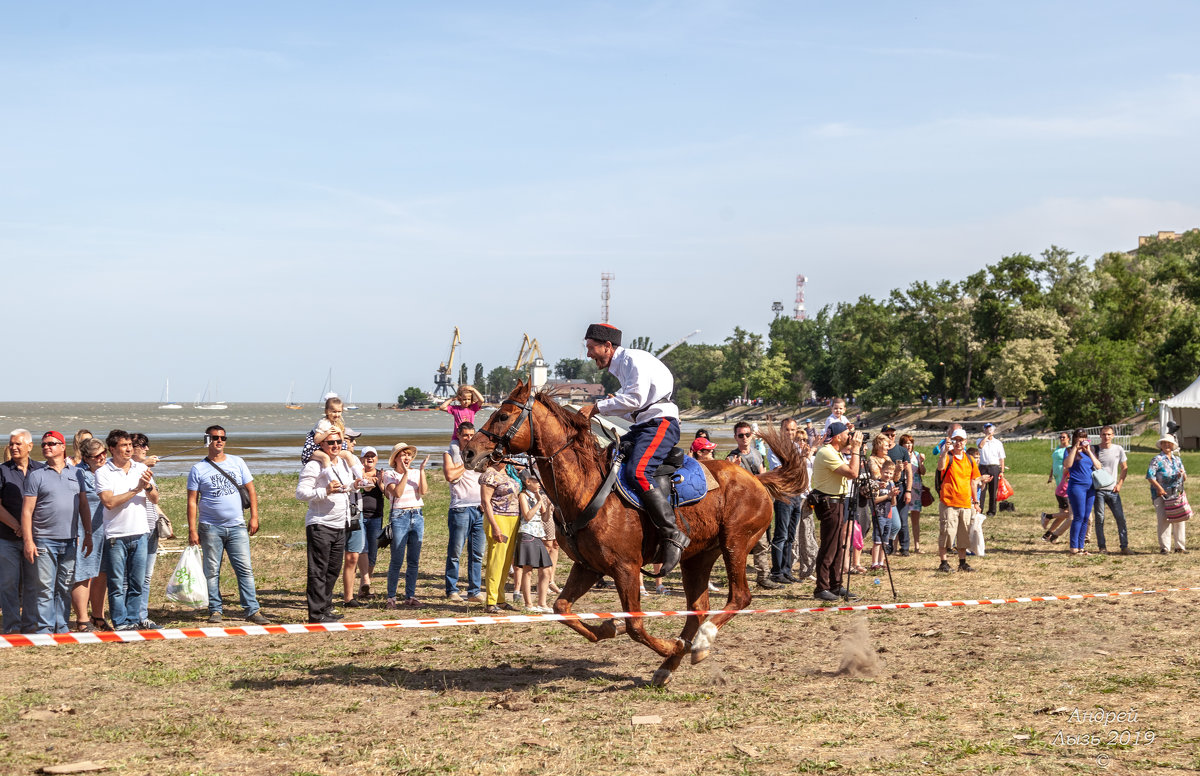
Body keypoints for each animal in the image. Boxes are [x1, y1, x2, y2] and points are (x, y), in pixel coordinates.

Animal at [458, 381, 806, 686]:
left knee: (739, 597)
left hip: (735, 543)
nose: (469, 453)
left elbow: (636, 625)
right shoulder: (588, 567)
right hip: (697, 557)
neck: (586, 487)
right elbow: (562, 610)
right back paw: (671, 664)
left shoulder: (625, 568)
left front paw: (666, 644)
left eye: (503, 415)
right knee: (697, 609)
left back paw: (700, 641)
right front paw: (610, 628)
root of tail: (757, 479)